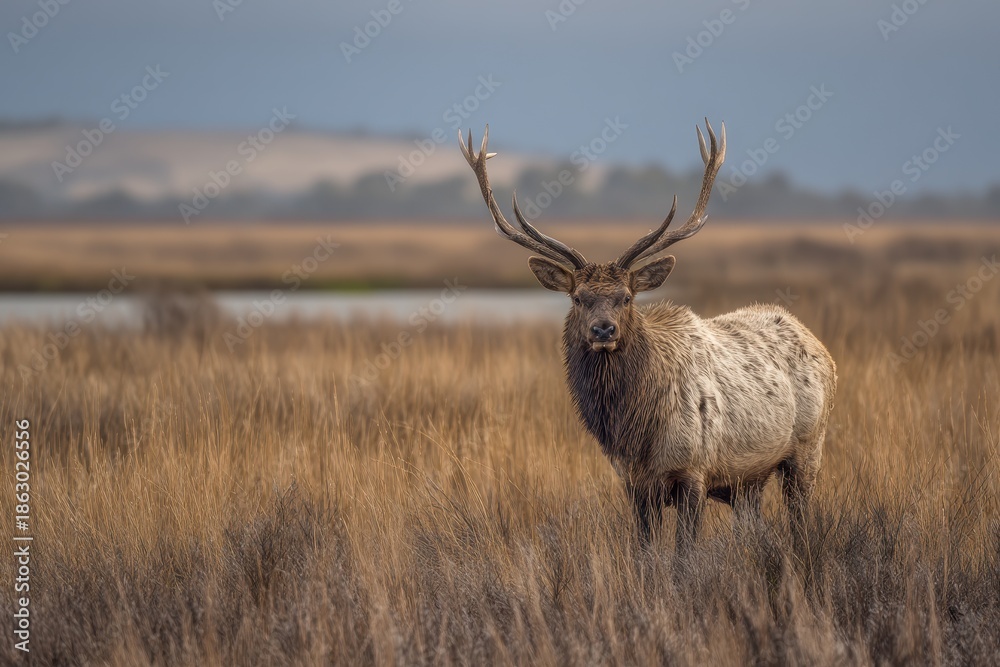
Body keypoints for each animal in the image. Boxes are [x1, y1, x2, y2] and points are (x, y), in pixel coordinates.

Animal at [459, 120, 837, 554]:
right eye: (578, 297)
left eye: (626, 297)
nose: (603, 329)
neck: (635, 431)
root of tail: (818, 343)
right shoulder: (634, 483)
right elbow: (643, 551)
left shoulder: (694, 469)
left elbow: (684, 555)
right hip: (749, 480)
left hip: (808, 447)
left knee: (800, 520)